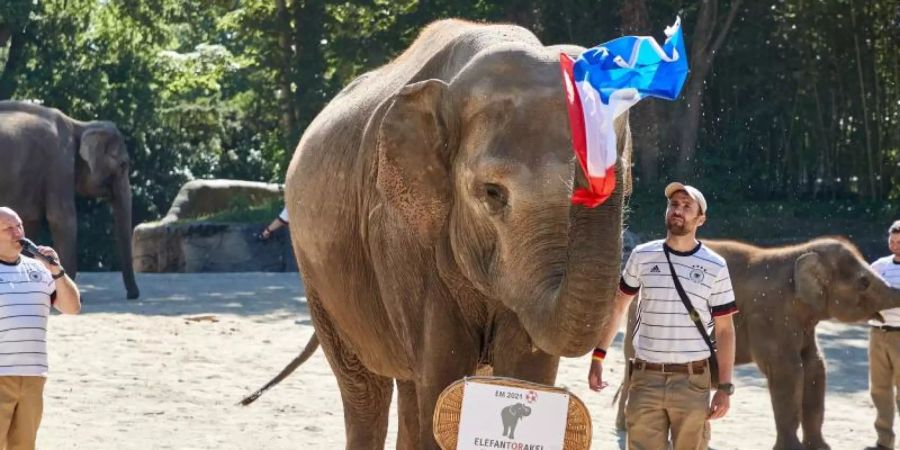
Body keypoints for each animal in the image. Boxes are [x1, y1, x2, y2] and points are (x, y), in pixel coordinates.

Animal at [0, 100, 139, 300]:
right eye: (123, 165)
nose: (133, 295)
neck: (80, 125)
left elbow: (30, 221)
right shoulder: (60, 162)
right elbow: (63, 220)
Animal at [241, 19, 632, 448]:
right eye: (493, 194)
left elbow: (527, 366)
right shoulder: (397, 233)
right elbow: (443, 370)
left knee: (406, 388)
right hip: (318, 280)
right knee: (366, 389)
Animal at [616, 237, 900, 448]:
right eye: (864, 282)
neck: (797, 253)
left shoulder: (803, 321)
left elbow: (814, 367)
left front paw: (821, 448)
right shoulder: (769, 313)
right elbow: (789, 373)